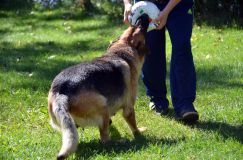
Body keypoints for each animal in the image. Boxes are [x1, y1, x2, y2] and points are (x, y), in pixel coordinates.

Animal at [47, 14, 150, 159]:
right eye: (139, 27)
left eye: (134, 25)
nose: (144, 15)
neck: (121, 51)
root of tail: (61, 91)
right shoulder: (129, 108)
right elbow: (133, 126)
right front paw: (139, 134)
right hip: (102, 106)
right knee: (104, 139)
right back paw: (119, 142)